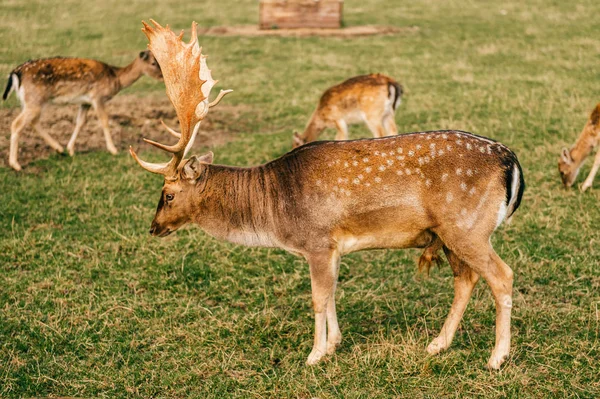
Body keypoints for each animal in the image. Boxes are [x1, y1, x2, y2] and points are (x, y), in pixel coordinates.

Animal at [2, 50, 163, 171]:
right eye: (153, 63)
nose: (163, 77)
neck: (115, 78)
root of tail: (15, 73)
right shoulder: (98, 97)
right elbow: (104, 121)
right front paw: (113, 149)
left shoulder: (85, 102)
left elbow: (80, 122)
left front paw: (71, 149)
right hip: (34, 99)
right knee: (17, 123)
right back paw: (16, 165)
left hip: (32, 102)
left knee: (33, 121)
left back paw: (59, 149)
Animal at [131, 19, 524, 372]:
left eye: (167, 194)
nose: (153, 228)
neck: (273, 212)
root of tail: (511, 161)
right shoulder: (332, 246)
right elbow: (333, 292)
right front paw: (334, 344)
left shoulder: (317, 241)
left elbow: (318, 299)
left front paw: (315, 354)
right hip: (449, 234)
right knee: (466, 279)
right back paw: (437, 345)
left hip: (467, 227)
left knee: (502, 275)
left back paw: (496, 358)